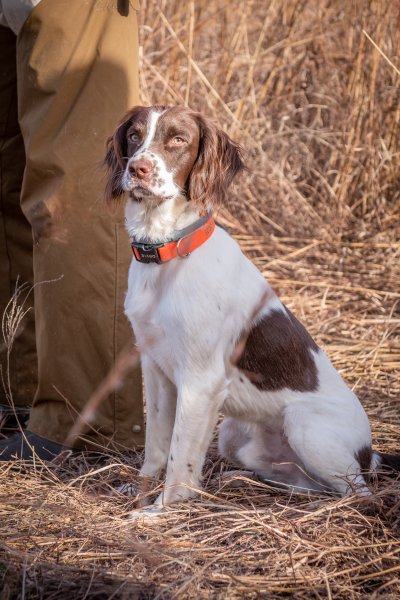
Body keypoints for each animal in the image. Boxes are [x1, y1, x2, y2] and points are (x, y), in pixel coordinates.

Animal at [104, 105, 398, 512]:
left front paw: (162, 511)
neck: (168, 255)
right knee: (306, 484)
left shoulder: (201, 380)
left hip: (304, 425)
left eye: (178, 139)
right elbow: (157, 447)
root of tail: (371, 453)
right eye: (134, 135)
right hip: (233, 435)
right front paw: (139, 491)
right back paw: (242, 481)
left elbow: (180, 458)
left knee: (357, 492)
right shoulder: (156, 369)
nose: (138, 169)